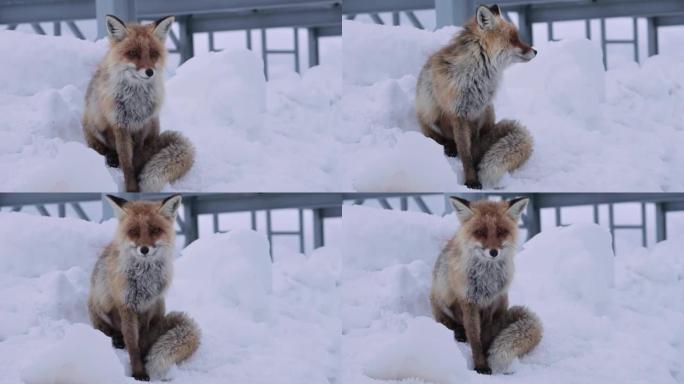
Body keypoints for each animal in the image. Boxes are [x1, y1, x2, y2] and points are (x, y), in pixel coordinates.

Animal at [83, 15, 195, 192]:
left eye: (154, 53)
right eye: (133, 53)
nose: (150, 72)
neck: (135, 100)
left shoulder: (144, 123)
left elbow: (137, 157)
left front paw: (136, 183)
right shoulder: (120, 125)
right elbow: (126, 162)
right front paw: (131, 188)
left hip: (155, 124)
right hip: (95, 125)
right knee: (104, 148)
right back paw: (111, 157)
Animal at [88, 195, 200, 380]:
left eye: (155, 230)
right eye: (133, 231)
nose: (144, 249)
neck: (144, 281)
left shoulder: (150, 305)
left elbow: (143, 340)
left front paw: (144, 360)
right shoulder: (126, 306)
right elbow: (132, 344)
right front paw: (138, 371)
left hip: (160, 304)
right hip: (100, 303)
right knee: (106, 328)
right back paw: (116, 338)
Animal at [414, 3, 536, 188]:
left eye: (518, 38)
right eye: (513, 39)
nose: (536, 51)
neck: (477, 77)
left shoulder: (480, 112)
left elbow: (475, 147)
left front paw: (477, 165)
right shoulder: (458, 114)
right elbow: (465, 153)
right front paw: (471, 179)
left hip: (489, 110)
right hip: (430, 109)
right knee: (433, 134)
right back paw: (449, 146)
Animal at [430, 196, 544, 374]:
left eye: (501, 231)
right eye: (480, 232)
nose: (493, 252)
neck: (486, 279)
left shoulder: (492, 300)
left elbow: (486, 332)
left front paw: (486, 354)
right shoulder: (468, 301)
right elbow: (474, 337)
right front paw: (480, 364)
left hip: (503, 301)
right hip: (443, 297)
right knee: (446, 320)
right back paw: (458, 331)